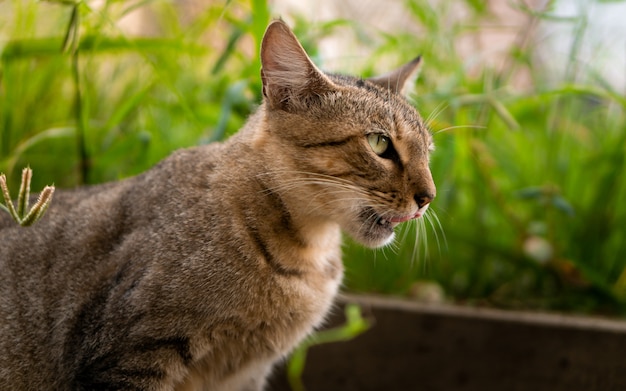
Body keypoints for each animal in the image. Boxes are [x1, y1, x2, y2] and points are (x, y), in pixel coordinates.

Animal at [0, 19, 434, 391]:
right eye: (379, 143)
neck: (305, 255)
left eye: (428, 151)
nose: (428, 197)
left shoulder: (246, 374)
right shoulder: (131, 357)